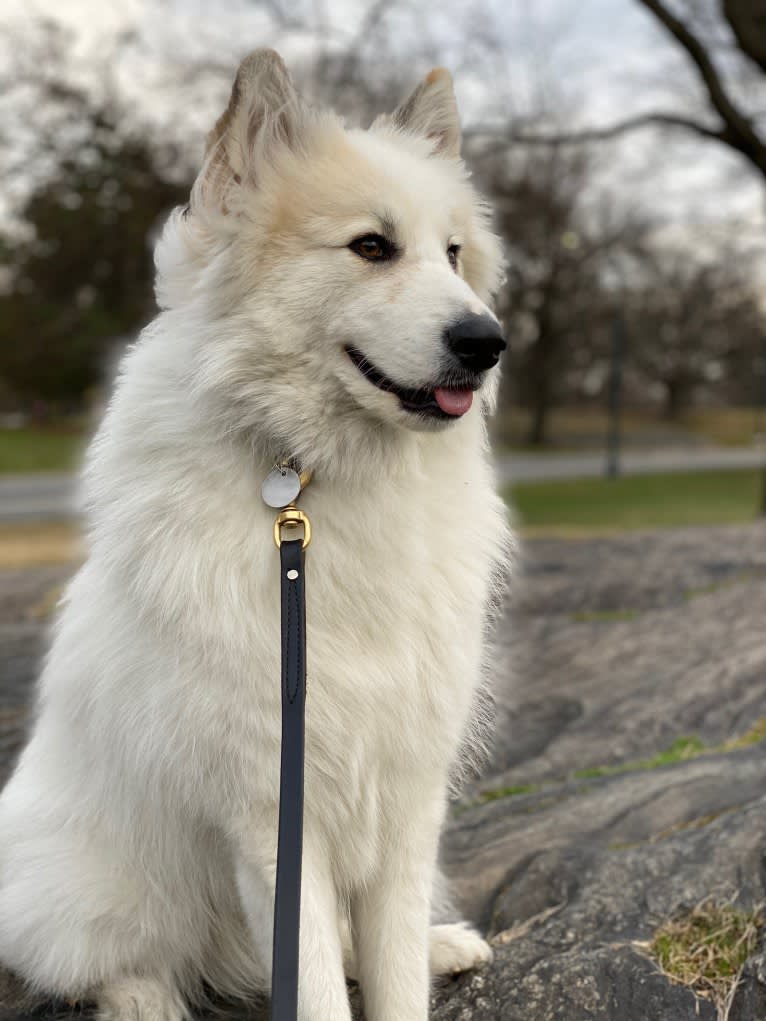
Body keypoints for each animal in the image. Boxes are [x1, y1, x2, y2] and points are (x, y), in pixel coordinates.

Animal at [3, 49, 516, 1021]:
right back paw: (148, 1000)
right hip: (103, 888)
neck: (317, 483)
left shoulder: (405, 798)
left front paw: (416, 959)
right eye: (371, 247)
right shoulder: (274, 816)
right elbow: (311, 983)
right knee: (111, 961)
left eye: (453, 254)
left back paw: (445, 943)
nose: (488, 341)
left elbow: (387, 968)